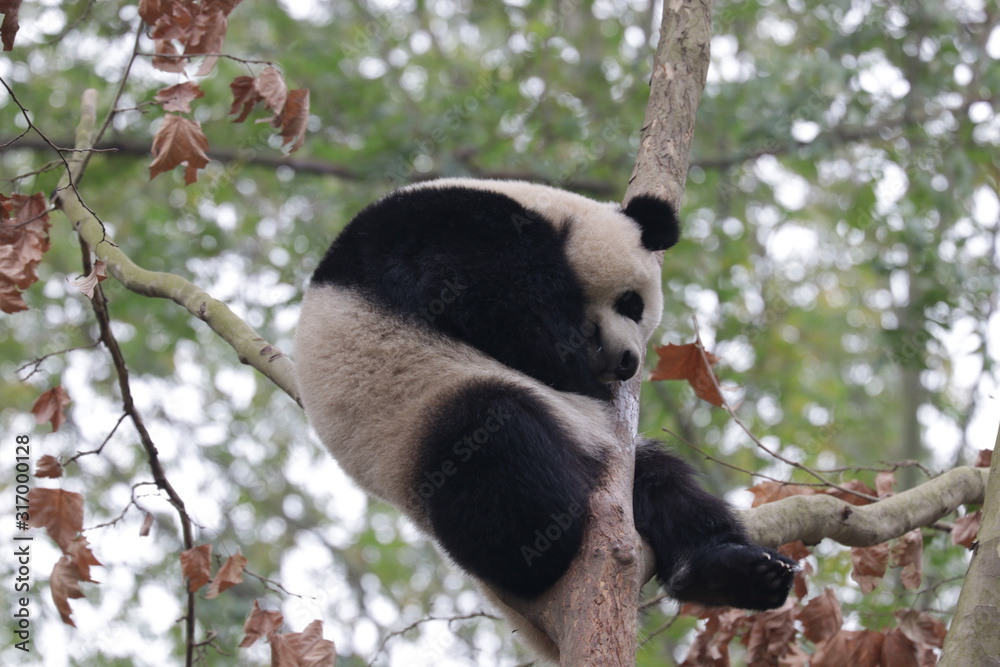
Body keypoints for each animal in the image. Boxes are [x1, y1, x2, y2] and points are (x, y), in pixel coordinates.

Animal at [294, 178, 796, 659]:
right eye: (632, 303)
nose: (628, 364)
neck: (549, 213)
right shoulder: (443, 228)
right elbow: (492, 301)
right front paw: (573, 365)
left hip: (586, 445)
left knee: (663, 484)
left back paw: (736, 573)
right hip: (418, 417)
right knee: (490, 442)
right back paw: (544, 546)